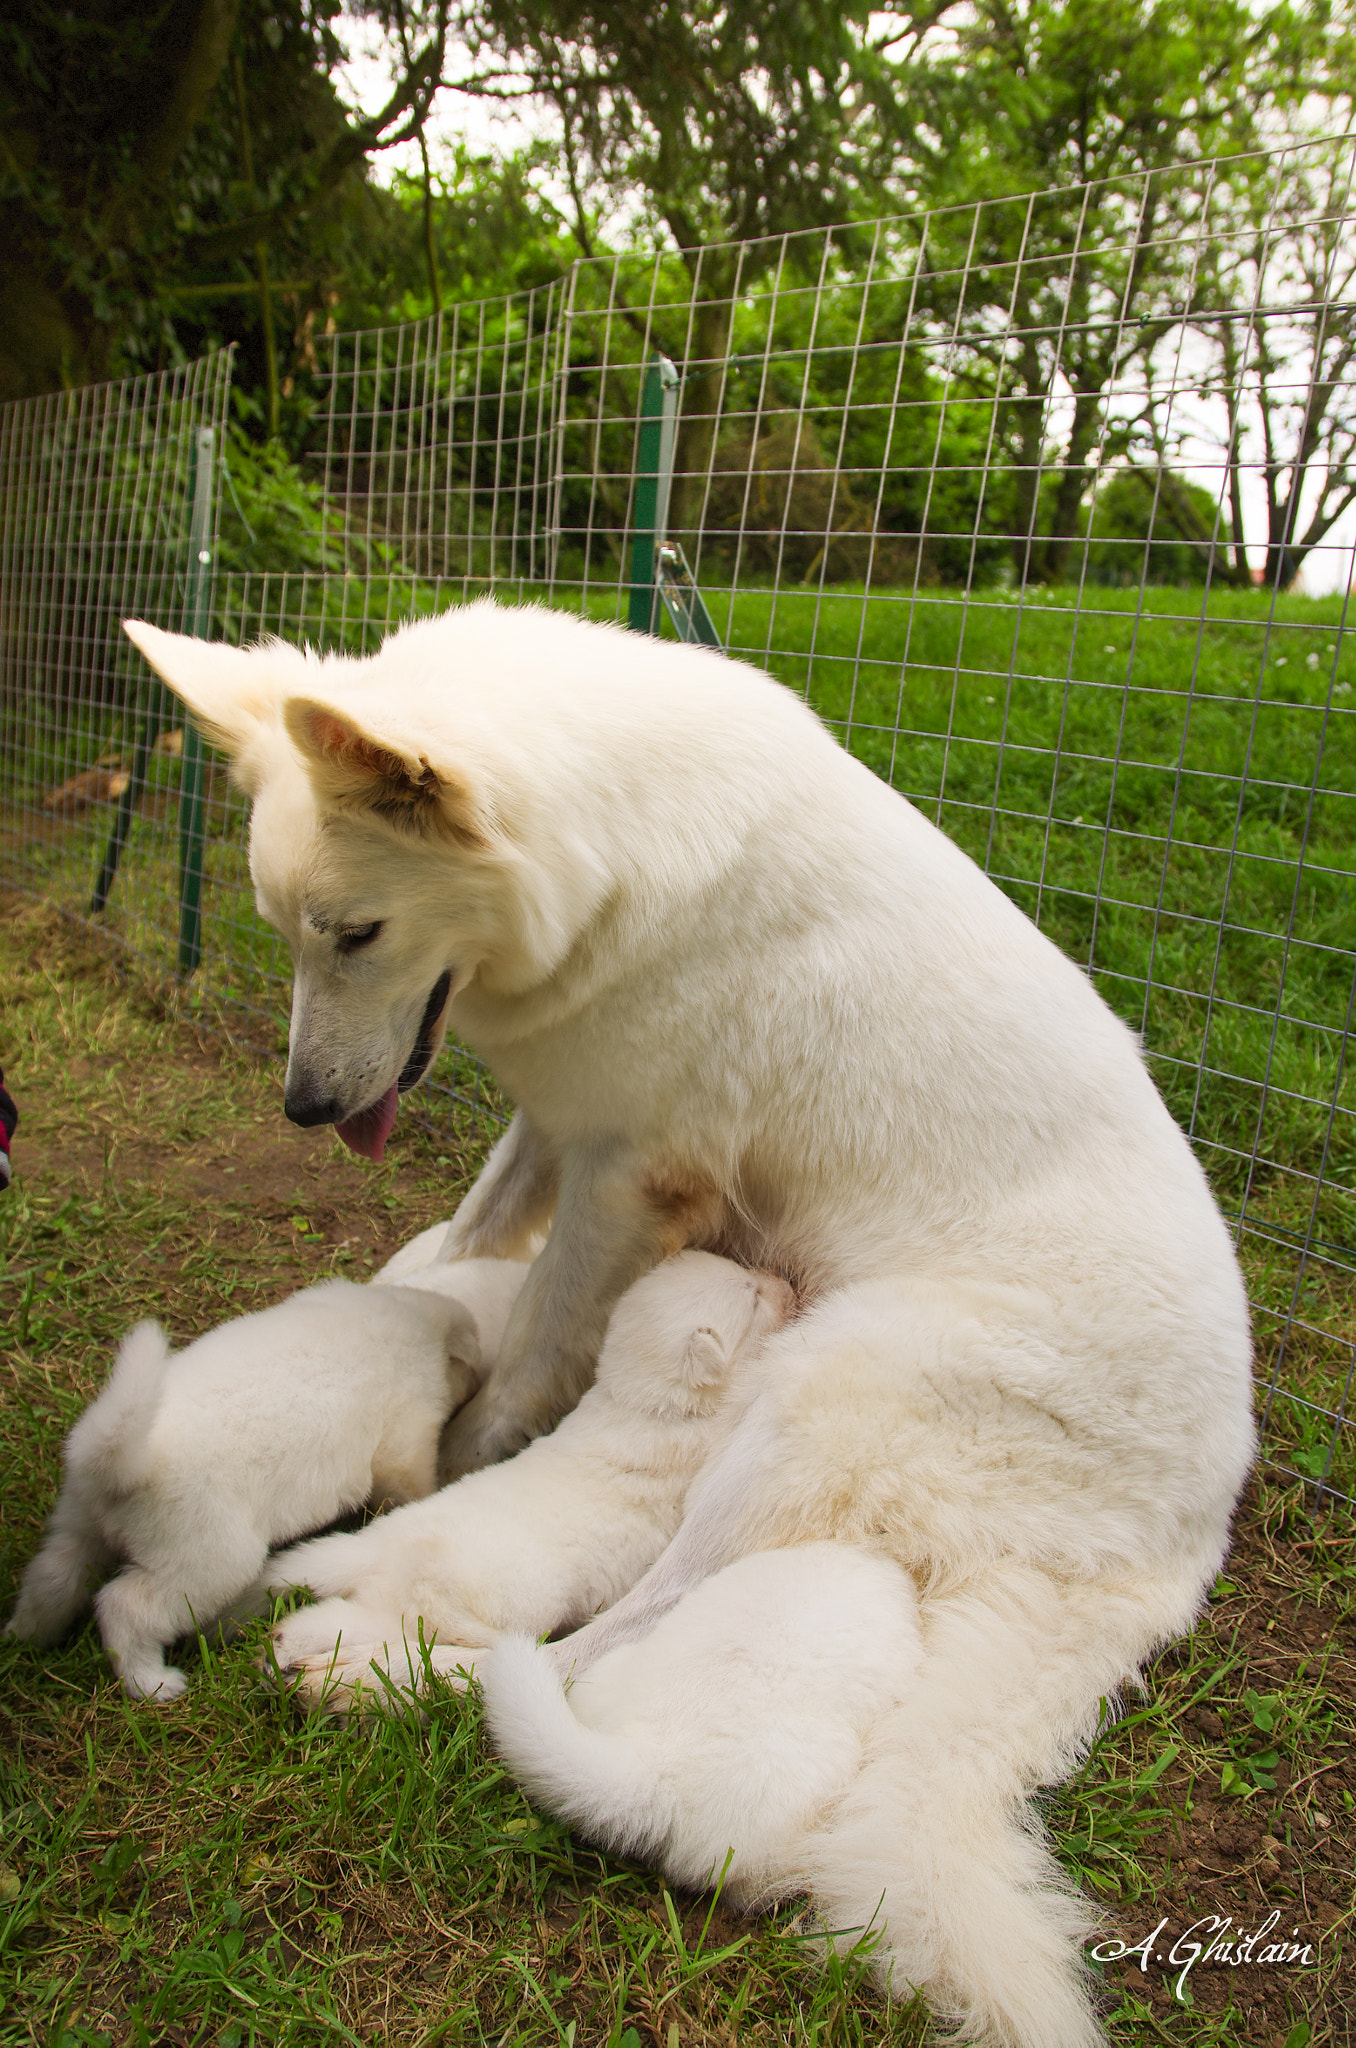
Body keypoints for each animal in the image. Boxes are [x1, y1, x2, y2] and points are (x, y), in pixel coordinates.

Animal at [5, 1277, 510, 1695]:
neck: (418, 1322)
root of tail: (124, 1462)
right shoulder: (404, 1440)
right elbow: (410, 1482)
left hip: (79, 1522)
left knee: (54, 1576)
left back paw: (26, 1636)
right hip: (208, 1563)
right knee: (123, 1606)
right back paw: (151, 1682)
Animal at [266, 1245, 798, 1712]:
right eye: (753, 1295)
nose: (790, 1283)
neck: (639, 1398)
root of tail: (374, 1547)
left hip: (386, 1599)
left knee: (344, 1621)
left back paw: (293, 1652)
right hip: (499, 1596)